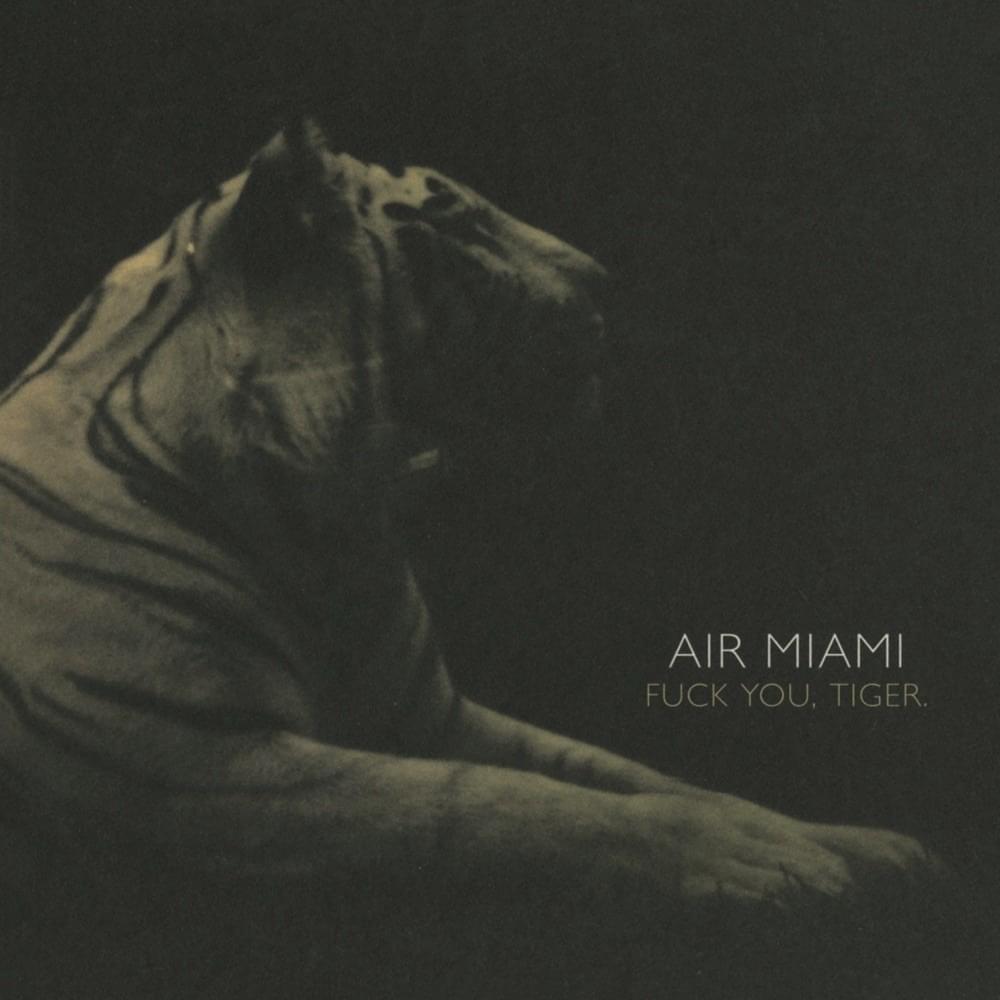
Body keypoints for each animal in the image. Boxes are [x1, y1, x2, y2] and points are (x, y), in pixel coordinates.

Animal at [0, 120, 937, 997]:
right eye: (457, 218)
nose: (602, 276)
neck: (330, 522)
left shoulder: (429, 715)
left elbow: (635, 775)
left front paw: (854, 844)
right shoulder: (199, 767)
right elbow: (502, 806)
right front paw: (769, 863)